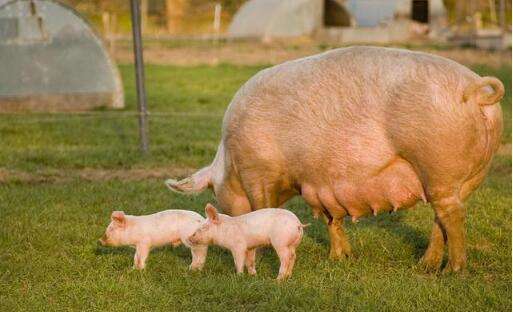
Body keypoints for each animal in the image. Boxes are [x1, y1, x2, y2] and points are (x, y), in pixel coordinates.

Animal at [166, 47, 502, 272]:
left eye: (214, 192)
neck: (231, 162)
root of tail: (474, 91)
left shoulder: (259, 173)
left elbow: (264, 209)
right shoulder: (320, 182)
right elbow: (331, 219)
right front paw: (341, 258)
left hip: (438, 164)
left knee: (452, 216)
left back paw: (452, 271)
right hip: (467, 176)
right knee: (441, 217)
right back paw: (425, 265)